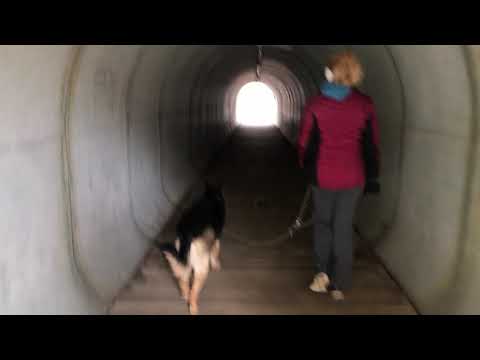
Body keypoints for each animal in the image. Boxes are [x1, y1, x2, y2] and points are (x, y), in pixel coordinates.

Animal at [157, 184, 226, 314]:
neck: (211, 197)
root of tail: (186, 232)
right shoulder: (216, 238)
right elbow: (215, 251)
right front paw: (216, 265)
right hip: (201, 269)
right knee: (193, 291)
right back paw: (193, 307)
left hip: (184, 259)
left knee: (183, 280)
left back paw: (185, 295)